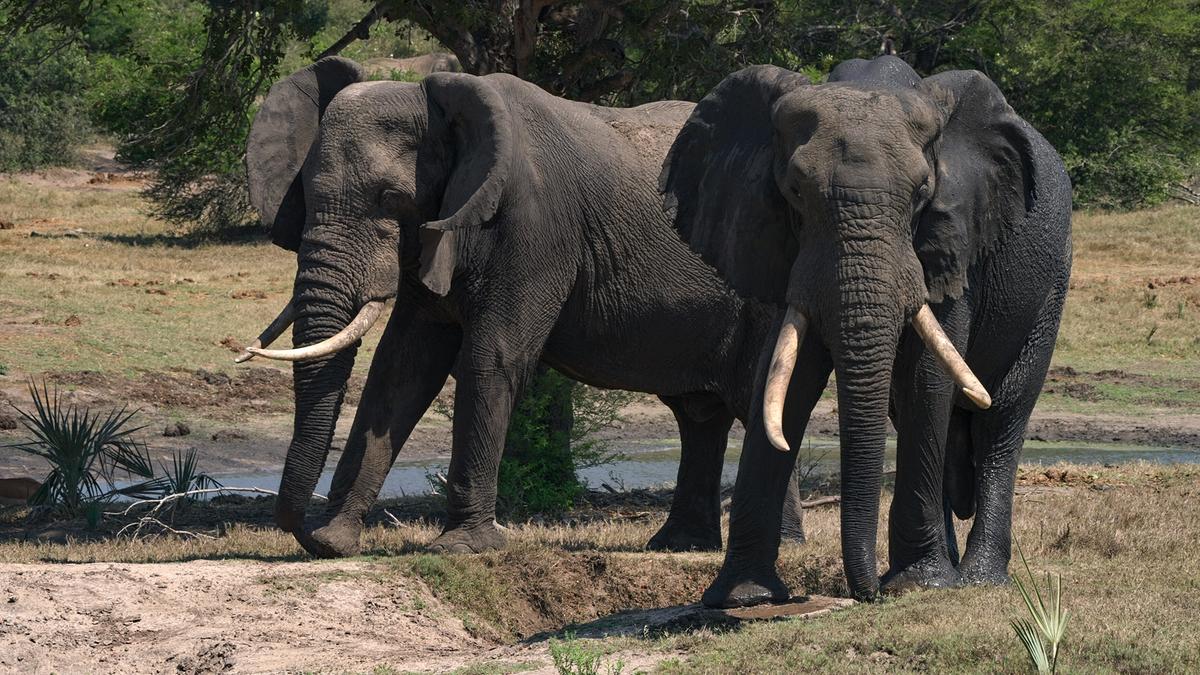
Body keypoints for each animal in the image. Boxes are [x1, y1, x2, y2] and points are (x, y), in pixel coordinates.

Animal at [234, 53, 806, 557]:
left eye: (390, 199)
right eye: (305, 196)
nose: (304, 530)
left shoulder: (534, 229)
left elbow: (491, 359)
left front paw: (460, 548)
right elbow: (402, 368)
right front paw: (334, 542)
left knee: (751, 398)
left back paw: (779, 548)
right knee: (698, 413)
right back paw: (679, 545)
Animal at [662, 56, 1075, 605]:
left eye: (922, 193)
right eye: (794, 191)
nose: (867, 593)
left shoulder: (953, 238)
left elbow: (927, 377)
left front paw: (919, 584)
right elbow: (784, 372)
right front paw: (743, 597)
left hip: (1051, 286)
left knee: (1000, 420)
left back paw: (977, 578)